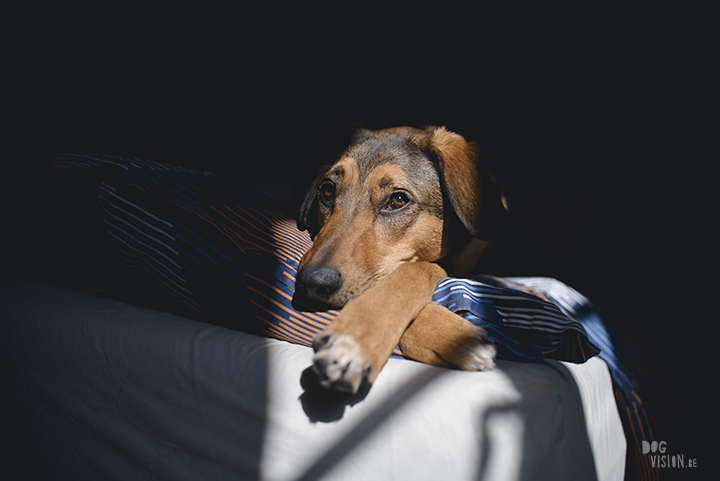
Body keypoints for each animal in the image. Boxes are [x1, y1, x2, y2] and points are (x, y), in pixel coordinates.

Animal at [292, 125, 506, 392]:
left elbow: (417, 270)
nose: (311, 282)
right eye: (328, 190)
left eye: (398, 200)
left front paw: (354, 338)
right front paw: (455, 339)